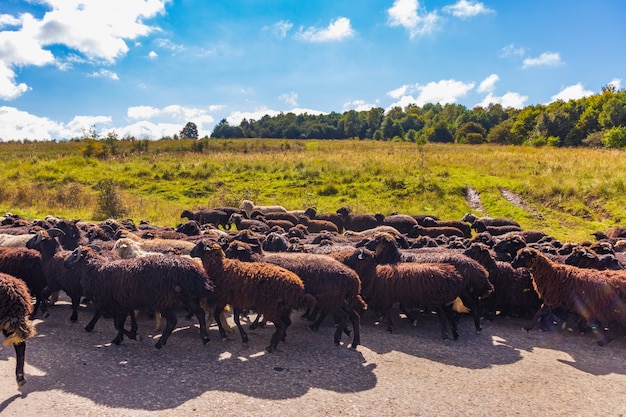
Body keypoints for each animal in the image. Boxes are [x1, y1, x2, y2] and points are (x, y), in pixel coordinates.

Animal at [63, 244, 214, 348]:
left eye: (74, 254)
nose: (64, 263)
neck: (97, 270)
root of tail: (193, 272)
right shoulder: (125, 303)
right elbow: (123, 322)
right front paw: (121, 337)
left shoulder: (117, 304)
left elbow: (117, 324)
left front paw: (133, 336)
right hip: (188, 297)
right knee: (200, 313)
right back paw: (205, 337)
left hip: (164, 300)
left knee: (173, 321)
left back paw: (160, 343)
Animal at [225, 239, 366, 350]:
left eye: (230, 250)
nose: (225, 259)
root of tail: (354, 279)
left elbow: (262, 313)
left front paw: (258, 324)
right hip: (341, 300)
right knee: (355, 317)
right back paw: (354, 341)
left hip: (331, 301)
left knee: (343, 316)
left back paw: (337, 337)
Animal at [336, 247, 464, 338]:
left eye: (355, 255)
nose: (344, 261)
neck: (373, 273)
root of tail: (454, 276)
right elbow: (397, 309)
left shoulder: (387, 296)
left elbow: (388, 310)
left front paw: (389, 326)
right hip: (444, 302)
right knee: (450, 316)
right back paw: (455, 333)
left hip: (436, 300)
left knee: (443, 317)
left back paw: (445, 334)